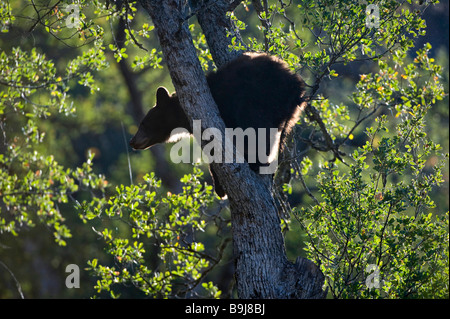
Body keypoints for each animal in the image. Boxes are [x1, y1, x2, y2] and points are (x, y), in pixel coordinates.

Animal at [128, 52, 308, 198]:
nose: (132, 141)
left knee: (257, 128)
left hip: (261, 98)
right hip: (286, 114)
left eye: (143, 123)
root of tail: (296, 86)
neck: (183, 114)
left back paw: (256, 163)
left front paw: (219, 187)